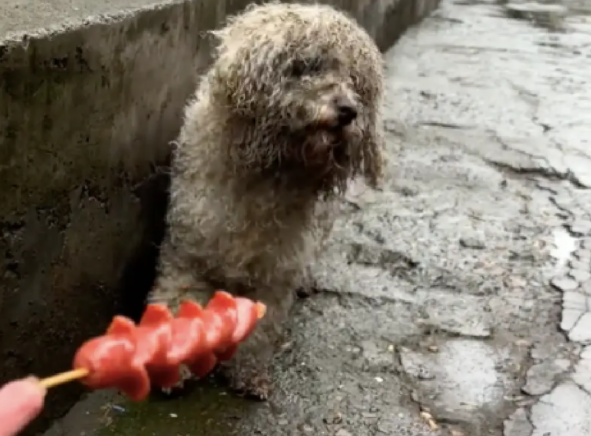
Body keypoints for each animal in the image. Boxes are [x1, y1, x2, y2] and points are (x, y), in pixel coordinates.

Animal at [149, 0, 384, 402]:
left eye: (356, 80)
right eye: (309, 65)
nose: (348, 111)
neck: (265, 178)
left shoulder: (274, 273)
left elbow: (261, 329)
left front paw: (247, 375)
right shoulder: (188, 254)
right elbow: (179, 305)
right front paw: (174, 368)